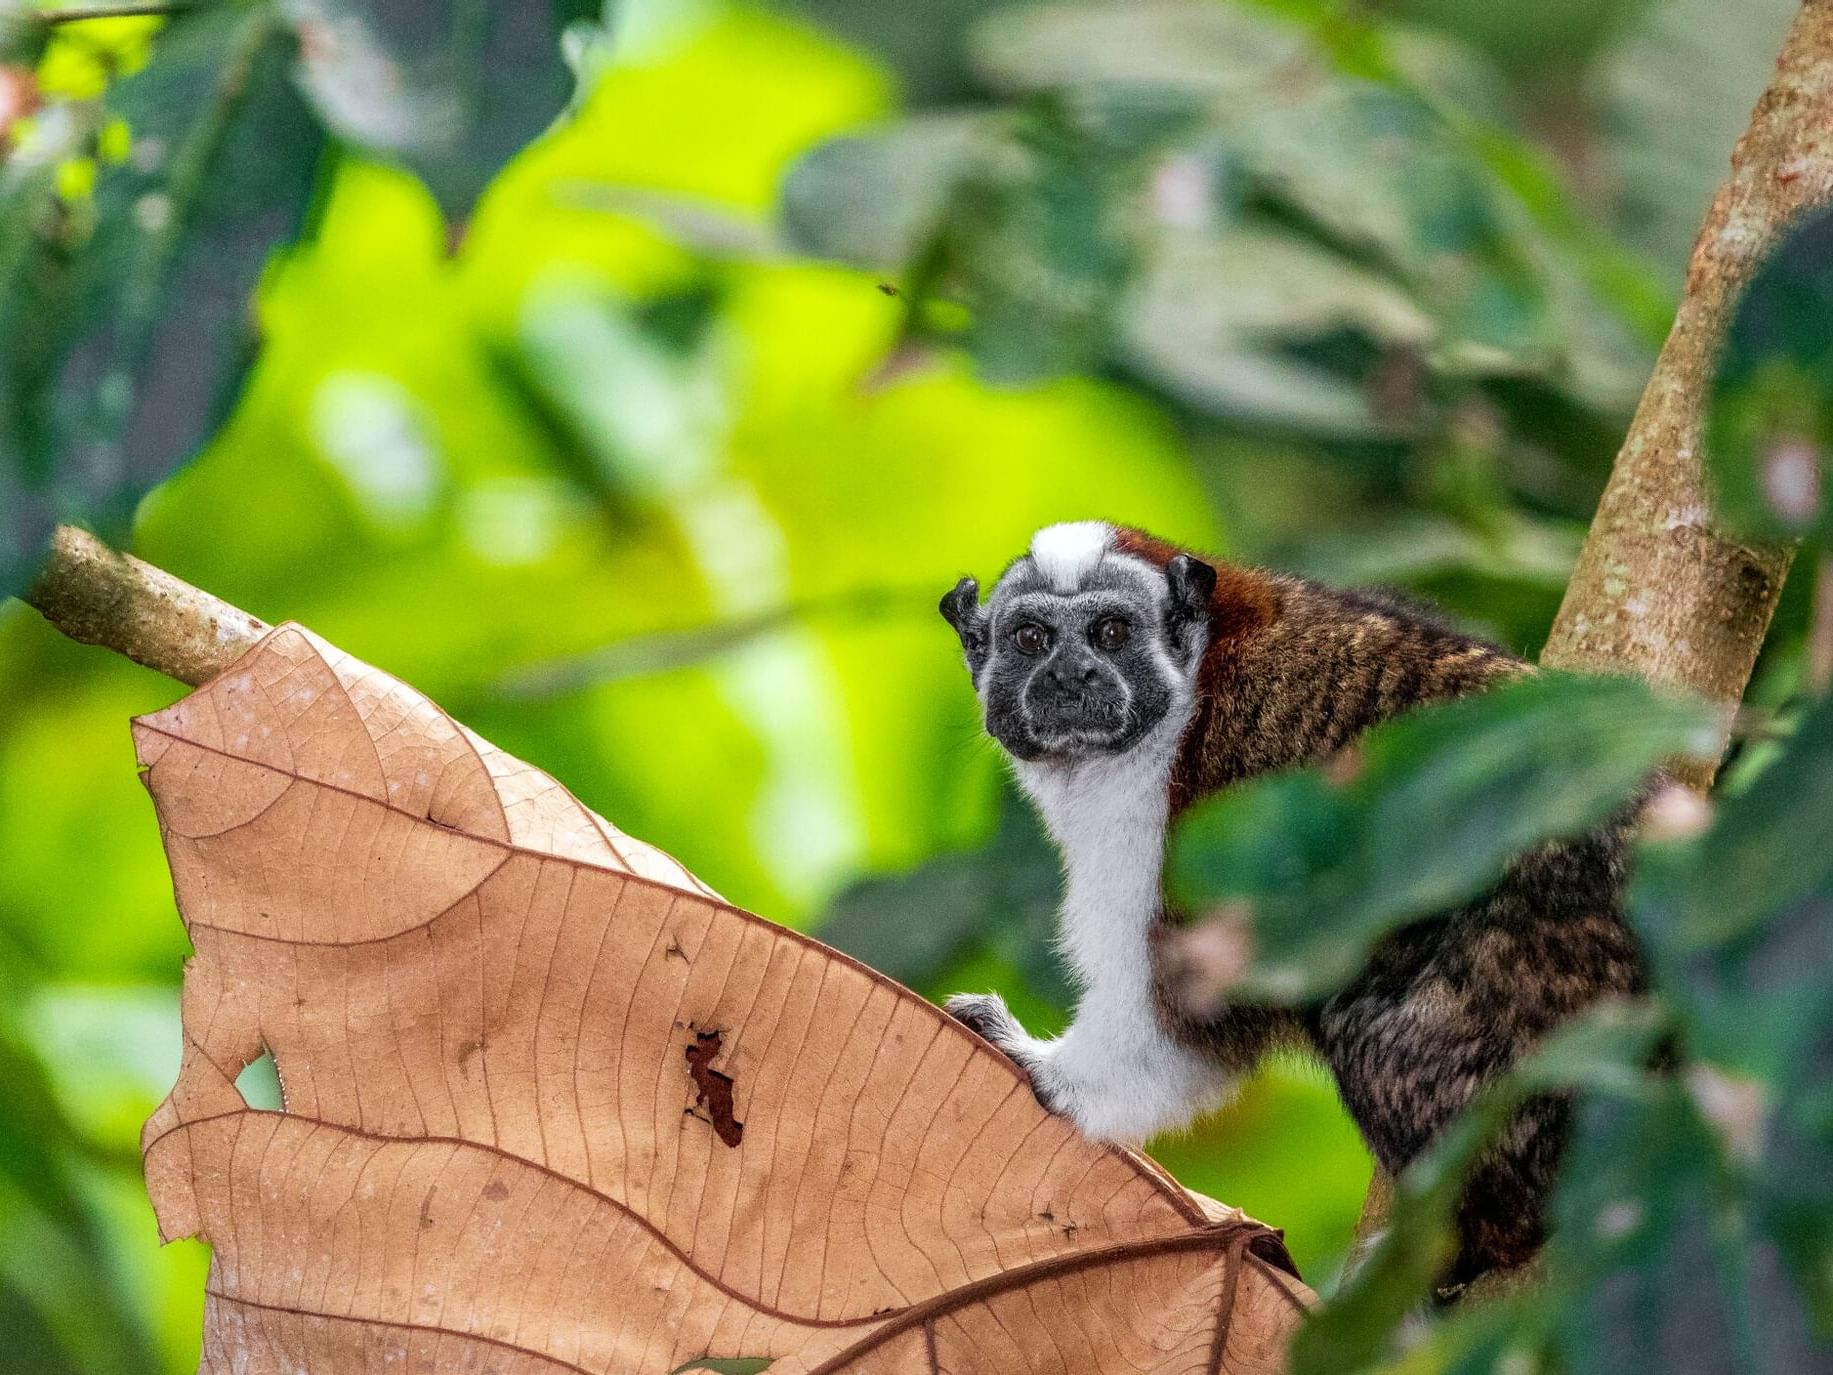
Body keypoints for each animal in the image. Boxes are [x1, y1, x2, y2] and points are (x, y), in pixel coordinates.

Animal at [938, 520, 1642, 1298]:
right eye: (1031, 638)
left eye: (1111, 633)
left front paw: (1035, 1065)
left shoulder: (1176, 820)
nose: (1072, 676)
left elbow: (1186, 1021)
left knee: (1369, 1023)